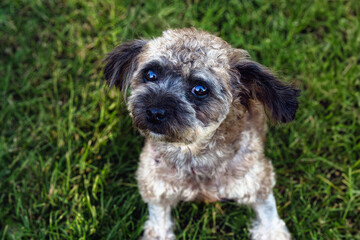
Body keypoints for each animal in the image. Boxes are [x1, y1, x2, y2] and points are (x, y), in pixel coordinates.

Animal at [103, 27, 298, 239]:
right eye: (151, 74)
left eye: (200, 89)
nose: (154, 112)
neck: (194, 156)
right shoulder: (156, 188)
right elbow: (159, 224)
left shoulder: (258, 184)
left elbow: (270, 221)